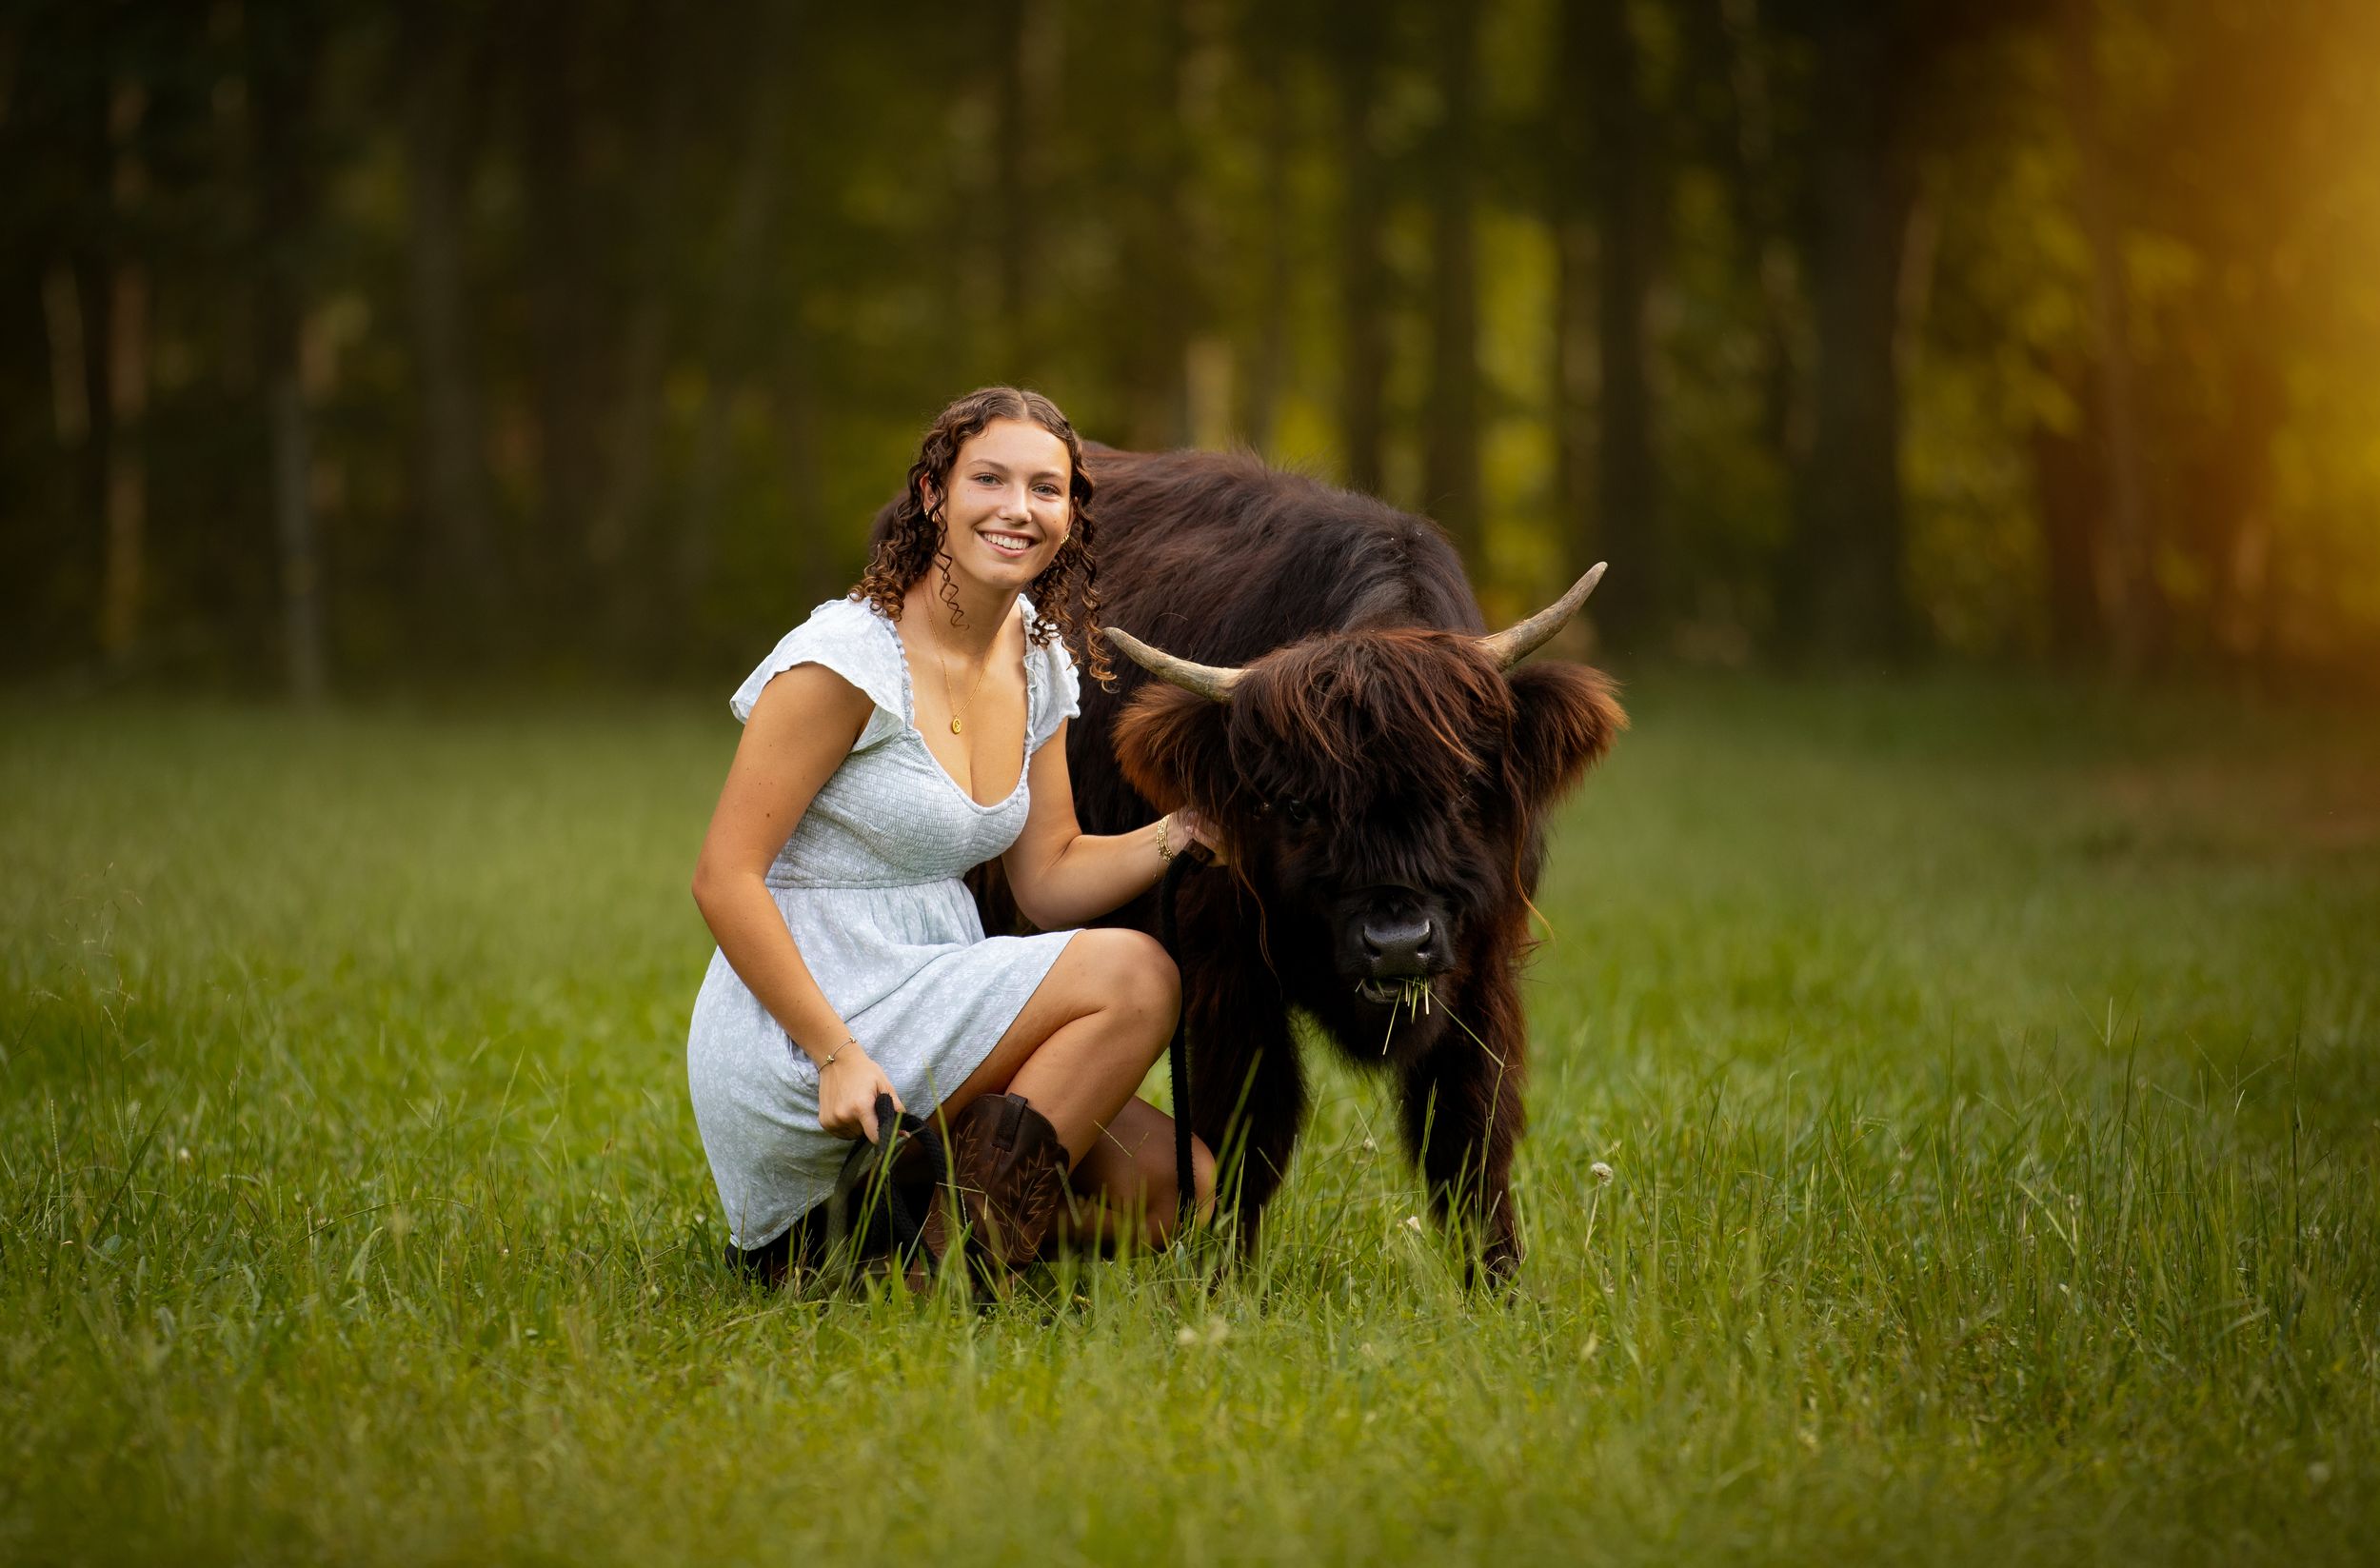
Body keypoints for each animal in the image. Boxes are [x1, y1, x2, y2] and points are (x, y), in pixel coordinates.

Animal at [1062, 447, 1625, 1283]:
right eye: (1297, 807)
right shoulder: (1226, 969)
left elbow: (1469, 1128)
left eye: (1465, 788)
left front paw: (1498, 1283)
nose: (1396, 943)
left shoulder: (1484, 964)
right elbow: (1250, 1122)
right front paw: (1221, 1280)